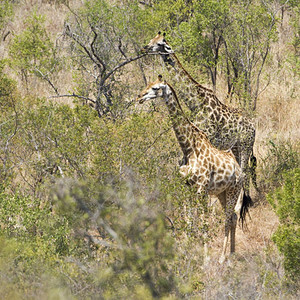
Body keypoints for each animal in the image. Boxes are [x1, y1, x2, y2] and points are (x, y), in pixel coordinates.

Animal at [137, 74, 252, 262]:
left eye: (155, 88)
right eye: (148, 84)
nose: (139, 97)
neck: (188, 148)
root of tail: (239, 169)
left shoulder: (201, 188)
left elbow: (203, 221)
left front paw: (204, 258)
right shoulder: (187, 187)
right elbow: (190, 220)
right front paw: (187, 251)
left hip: (234, 189)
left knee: (228, 218)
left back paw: (222, 258)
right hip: (221, 193)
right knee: (233, 217)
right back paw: (232, 253)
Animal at [142, 32, 256, 199]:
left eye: (160, 43)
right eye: (152, 39)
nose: (145, 47)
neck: (195, 102)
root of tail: (254, 124)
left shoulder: (208, 139)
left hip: (246, 144)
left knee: (245, 169)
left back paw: (247, 198)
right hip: (236, 146)